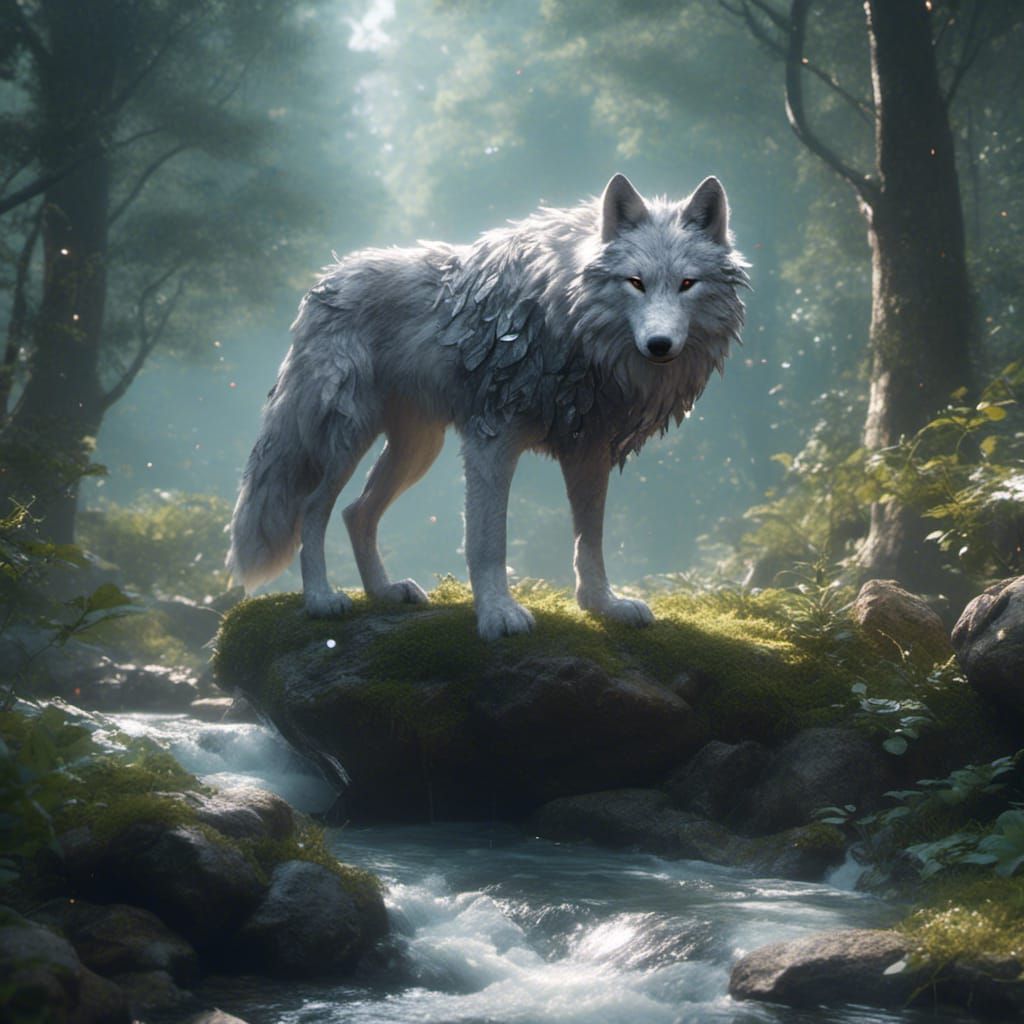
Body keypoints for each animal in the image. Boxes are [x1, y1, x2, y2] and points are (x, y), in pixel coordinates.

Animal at [227, 174, 748, 639]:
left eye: (687, 284)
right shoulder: (490, 440)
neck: (566, 318)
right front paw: (498, 614)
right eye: (635, 282)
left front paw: (603, 605)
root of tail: (324, 284)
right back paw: (320, 599)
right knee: (312, 510)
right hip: (346, 440)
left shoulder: (588, 450)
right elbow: (488, 541)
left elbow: (590, 540)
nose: (659, 345)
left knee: (356, 512)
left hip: (417, 451)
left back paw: (384, 592)